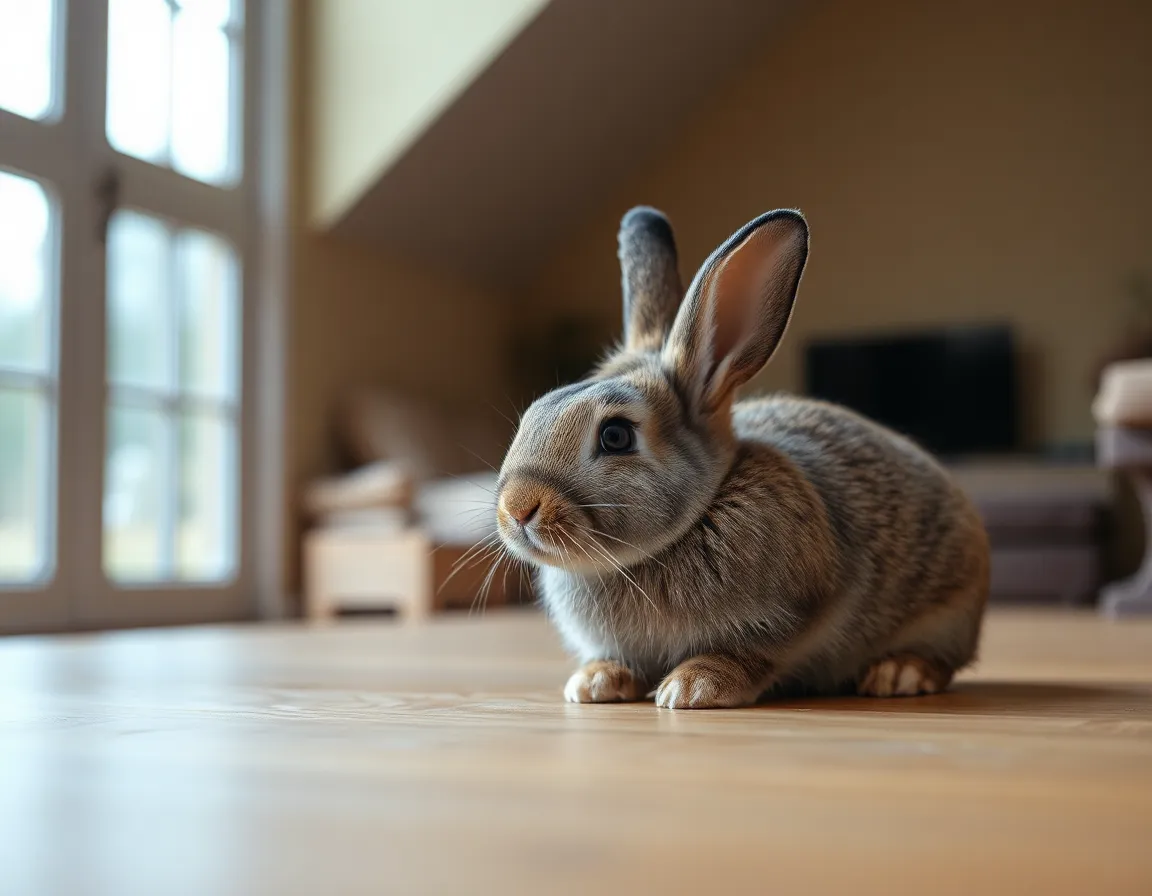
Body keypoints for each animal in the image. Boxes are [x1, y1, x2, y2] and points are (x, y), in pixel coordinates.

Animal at [495, 206, 990, 709]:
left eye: (616, 436)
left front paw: (692, 687)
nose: (517, 508)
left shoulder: (794, 613)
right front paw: (595, 682)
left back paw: (899, 673)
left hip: (948, 613)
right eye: (532, 413)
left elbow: (750, 654)